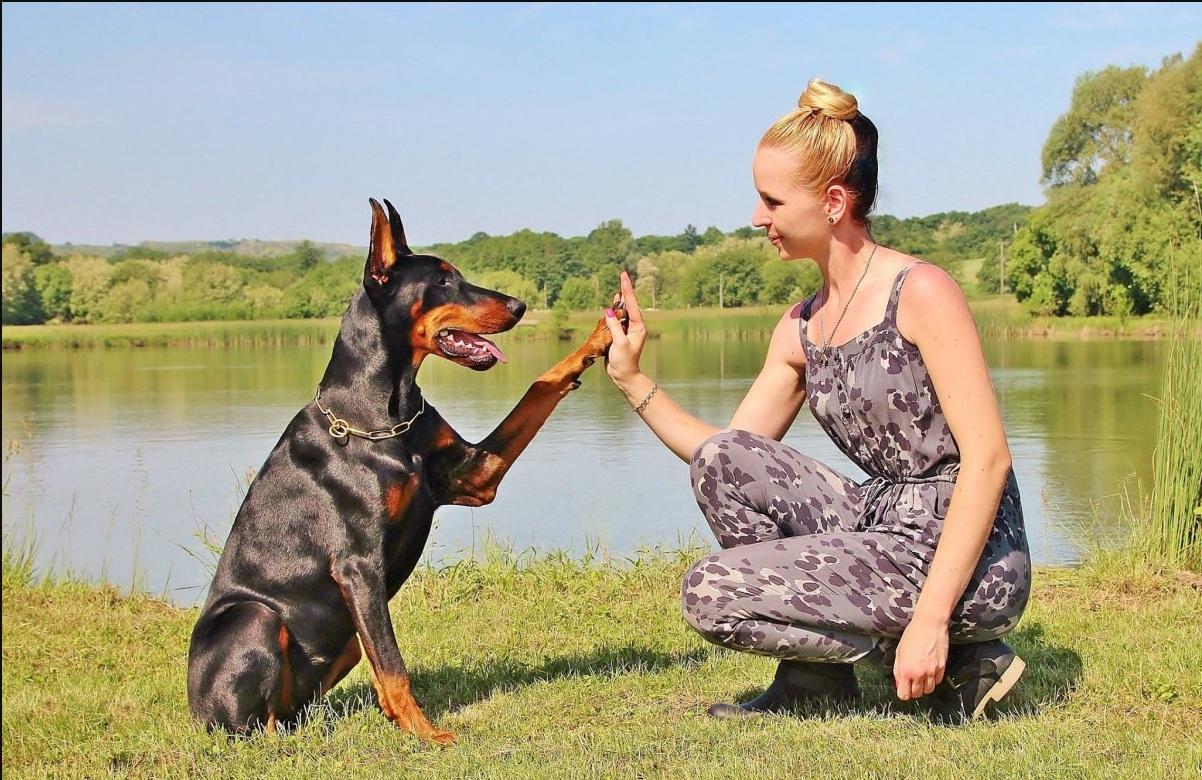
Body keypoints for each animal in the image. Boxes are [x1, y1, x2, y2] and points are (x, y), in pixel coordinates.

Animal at [189, 199, 620, 740]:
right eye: (443, 280)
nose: (520, 306)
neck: (385, 415)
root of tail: (194, 709)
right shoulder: (357, 565)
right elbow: (394, 665)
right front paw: (429, 734)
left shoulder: (473, 476)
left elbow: (540, 385)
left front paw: (603, 333)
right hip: (255, 618)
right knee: (253, 727)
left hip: (343, 643)